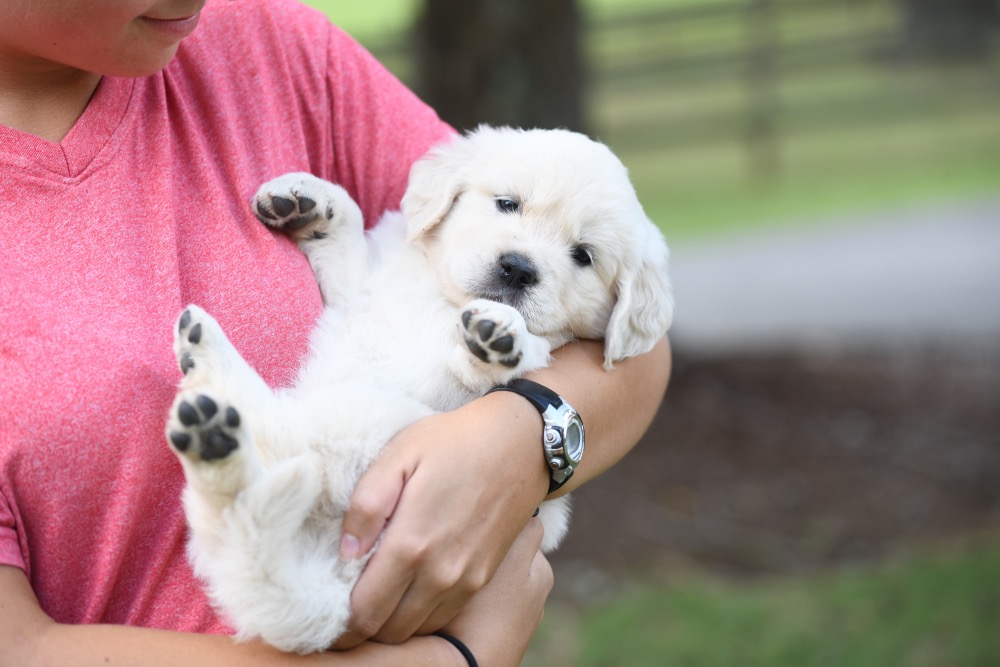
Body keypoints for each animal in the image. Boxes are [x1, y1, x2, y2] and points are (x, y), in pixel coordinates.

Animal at [168, 125, 676, 652]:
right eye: (507, 203)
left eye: (583, 255)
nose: (518, 268)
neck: (442, 297)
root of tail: (334, 592)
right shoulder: (358, 293)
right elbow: (347, 238)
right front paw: (309, 203)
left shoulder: (468, 384)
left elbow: (503, 359)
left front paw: (500, 334)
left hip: (356, 422)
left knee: (261, 462)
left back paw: (210, 410)